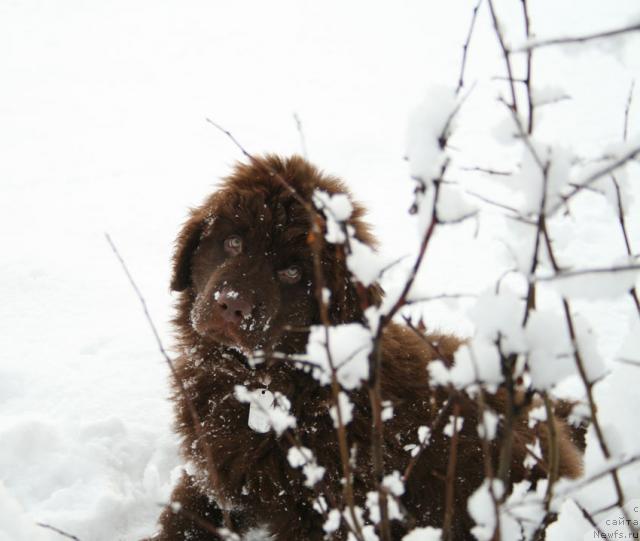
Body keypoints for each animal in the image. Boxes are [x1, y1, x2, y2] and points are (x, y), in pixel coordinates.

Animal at [148, 154, 584, 540]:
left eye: (293, 272)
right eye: (234, 242)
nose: (232, 304)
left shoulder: (330, 511)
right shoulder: (213, 476)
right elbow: (183, 521)